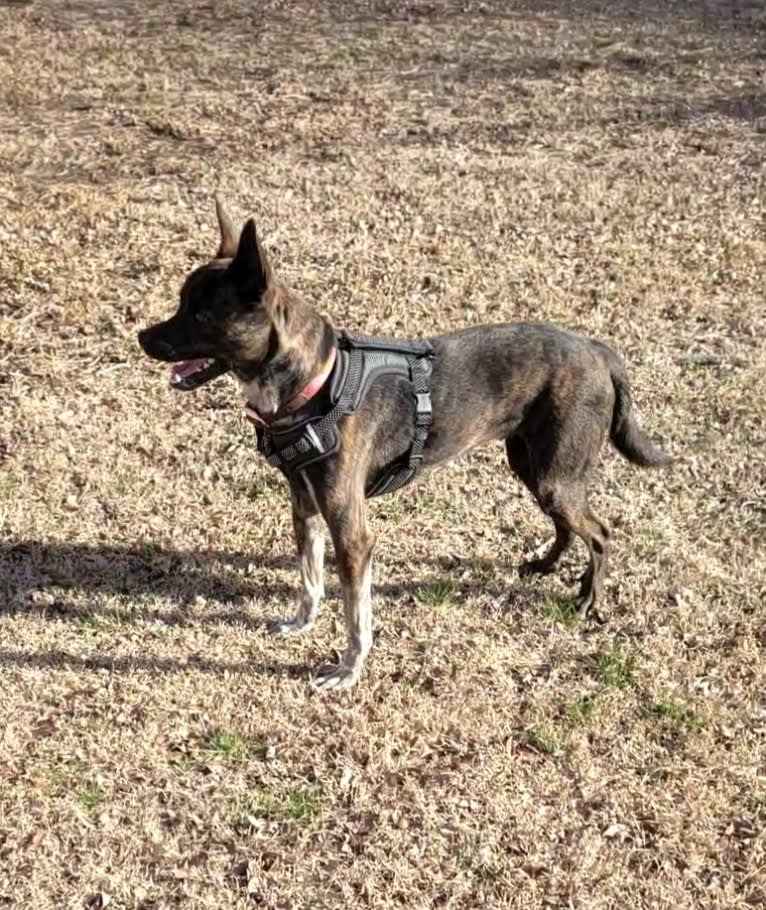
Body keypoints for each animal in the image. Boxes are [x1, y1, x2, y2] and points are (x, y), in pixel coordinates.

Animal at [138, 200, 672, 696]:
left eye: (201, 314)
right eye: (181, 302)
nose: (142, 337)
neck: (315, 384)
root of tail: (599, 351)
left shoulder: (352, 531)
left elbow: (357, 616)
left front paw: (348, 671)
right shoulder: (305, 505)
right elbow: (310, 579)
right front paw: (302, 623)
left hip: (555, 473)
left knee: (599, 533)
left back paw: (588, 598)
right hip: (533, 465)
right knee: (566, 524)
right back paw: (545, 565)